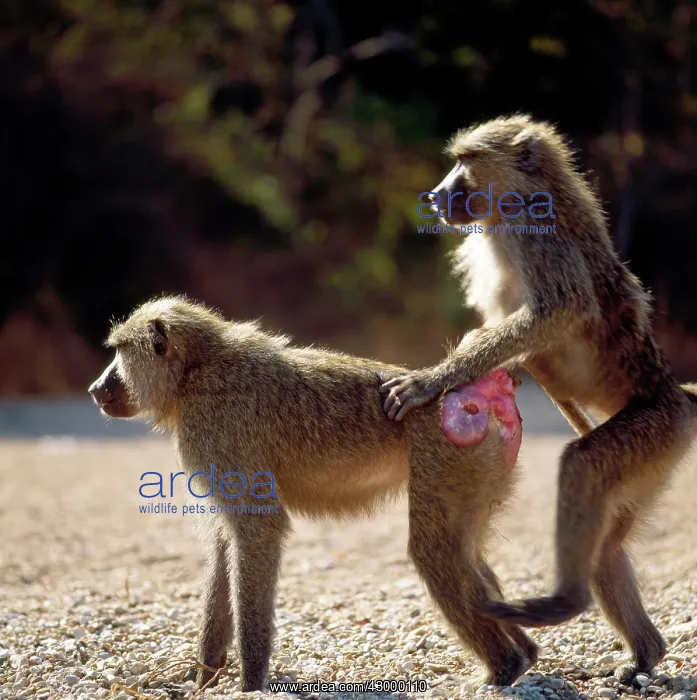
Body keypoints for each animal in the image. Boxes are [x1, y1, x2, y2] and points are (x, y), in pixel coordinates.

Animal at [88, 295, 537, 692]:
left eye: (120, 354)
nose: (95, 388)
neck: (195, 371)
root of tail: (472, 391)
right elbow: (224, 547)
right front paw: (205, 678)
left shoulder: (215, 428)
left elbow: (259, 530)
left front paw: (250, 684)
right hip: (480, 468)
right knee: (466, 553)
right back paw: (525, 655)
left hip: (449, 452)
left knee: (435, 552)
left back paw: (504, 667)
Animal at [380, 113, 697, 681]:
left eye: (465, 161)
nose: (436, 195)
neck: (522, 200)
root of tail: (676, 396)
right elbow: (510, 339)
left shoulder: (539, 240)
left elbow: (557, 312)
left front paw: (429, 382)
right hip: (656, 455)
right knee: (607, 543)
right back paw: (646, 654)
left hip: (657, 428)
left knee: (584, 466)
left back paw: (565, 602)